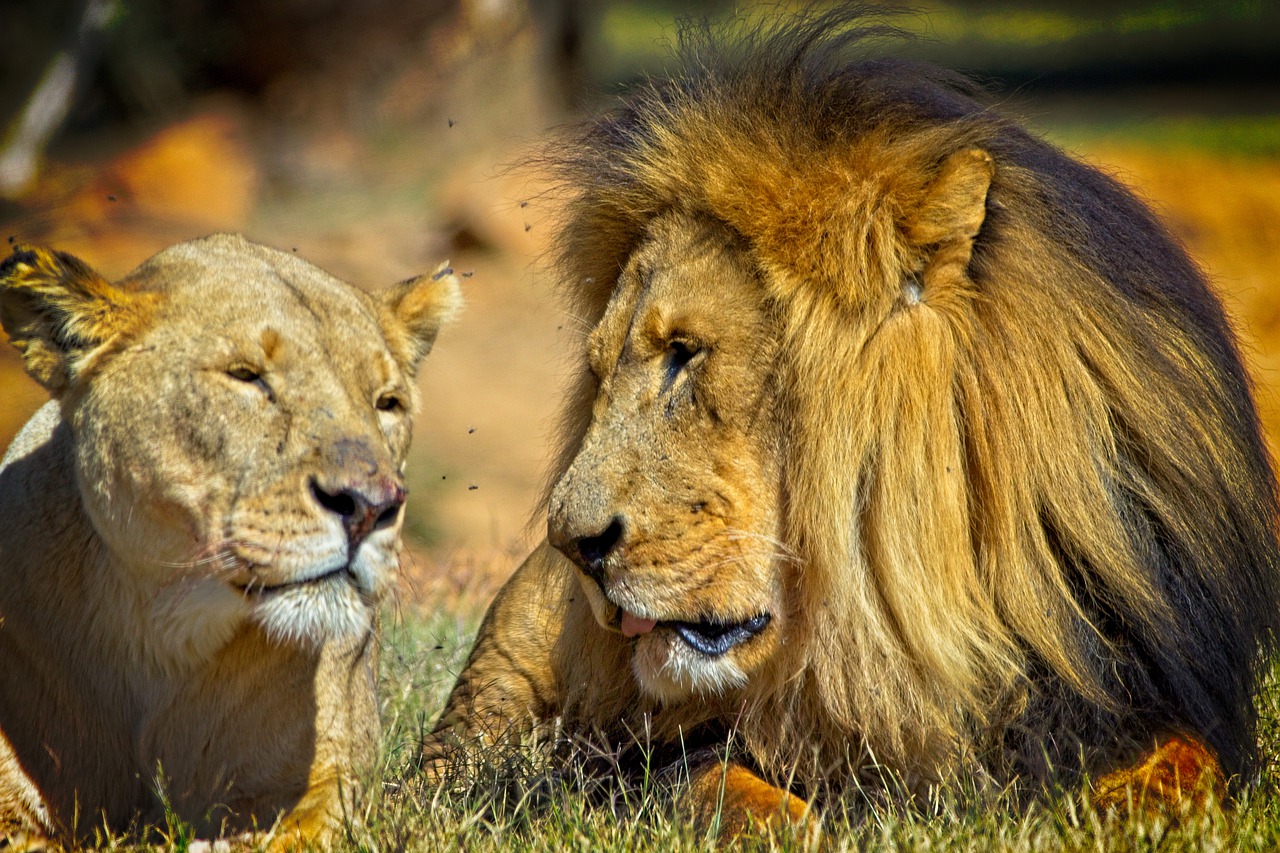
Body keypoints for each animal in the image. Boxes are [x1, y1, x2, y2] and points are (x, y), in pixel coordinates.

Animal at [425, 10, 1280, 835]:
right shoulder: (627, 756)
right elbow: (718, 781)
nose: (572, 544)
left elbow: (1188, 763)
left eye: (684, 355)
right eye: (600, 372)